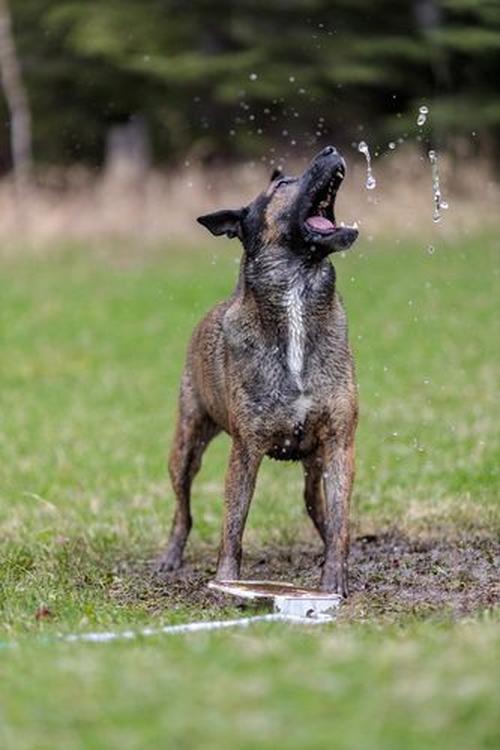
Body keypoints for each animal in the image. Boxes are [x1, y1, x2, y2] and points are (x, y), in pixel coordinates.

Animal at [158, 144, 358, 596]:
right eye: (282, 184)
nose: (331, 148)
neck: (297, 300)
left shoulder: (340, 443)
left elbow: (339, 520)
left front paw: (333, 579)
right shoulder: (245, 451)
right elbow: (233, 526)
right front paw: (227, 582)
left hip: (315, 462)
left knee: (317, 508)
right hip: (186, 445)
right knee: (183, 511)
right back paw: (170, 557)